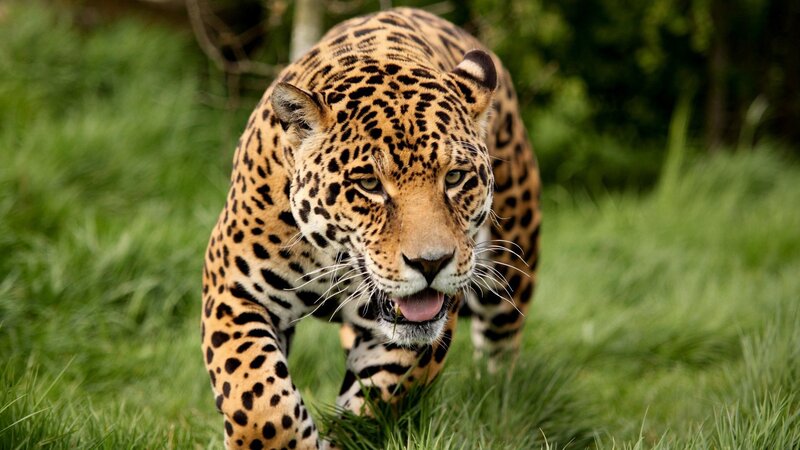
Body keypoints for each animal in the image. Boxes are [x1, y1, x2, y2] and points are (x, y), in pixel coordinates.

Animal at [201, 7, 541, 449]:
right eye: (369, 185)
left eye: (454, 177)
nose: (431, 264)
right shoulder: (233, 289)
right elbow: (257, 403)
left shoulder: (414, 337)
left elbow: (371, 403)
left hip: (511, 269)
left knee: (501, 352)